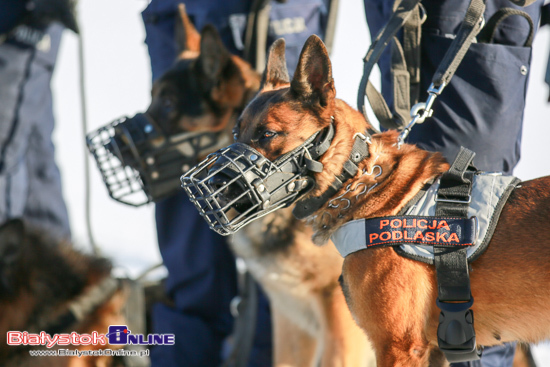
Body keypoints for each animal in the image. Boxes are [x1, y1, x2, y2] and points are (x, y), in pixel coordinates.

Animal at [230, 33, 550, 366]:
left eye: (267, 134)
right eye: (236, 134)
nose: (219, 187)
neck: (361, 183)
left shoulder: (397, 345)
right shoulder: (431, 350)